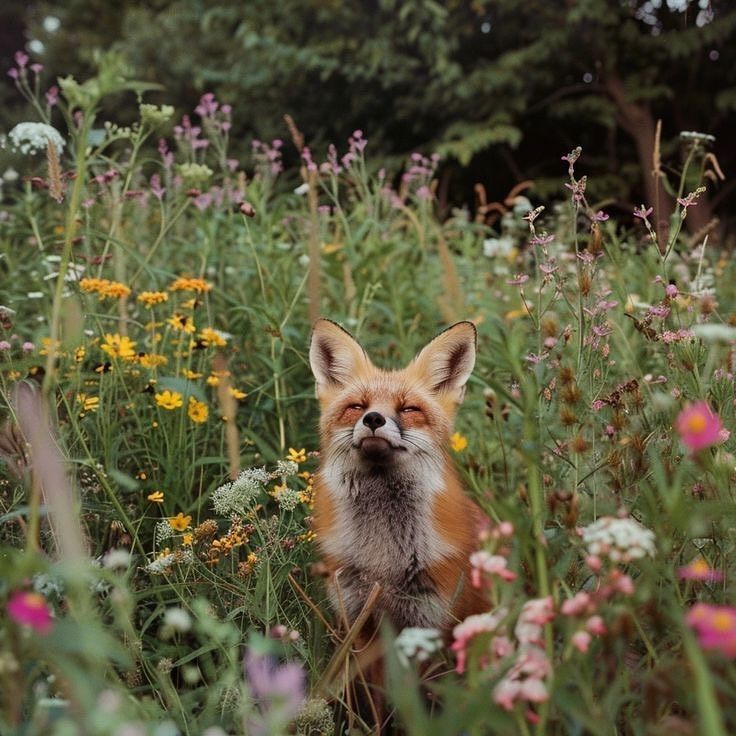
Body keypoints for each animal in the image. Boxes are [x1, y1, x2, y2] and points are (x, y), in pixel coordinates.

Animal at [309, 318, 487, 645]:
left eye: (409, 409)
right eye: (357, 407)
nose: (373, 419)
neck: (382, 559)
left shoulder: (433, 621)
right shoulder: (355, 616)